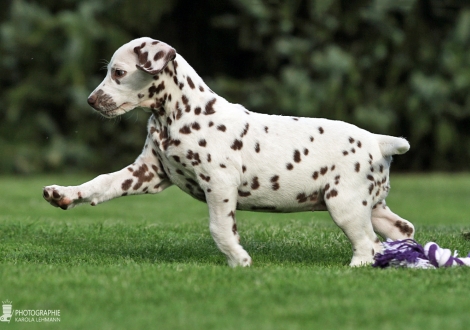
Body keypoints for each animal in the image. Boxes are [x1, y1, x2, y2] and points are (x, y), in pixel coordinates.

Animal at [42, 37, 414, 266]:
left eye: (119, 73)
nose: (91, 101)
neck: (183, 114)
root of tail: (378, 141)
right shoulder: (146, 174)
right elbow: (101, 183)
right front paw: (64, 193)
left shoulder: (219, 185)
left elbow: (220, 228)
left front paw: (238, 259)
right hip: (371, 206)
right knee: (402, 229)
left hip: (345, 205)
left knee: (368, 245)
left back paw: (355, 268)